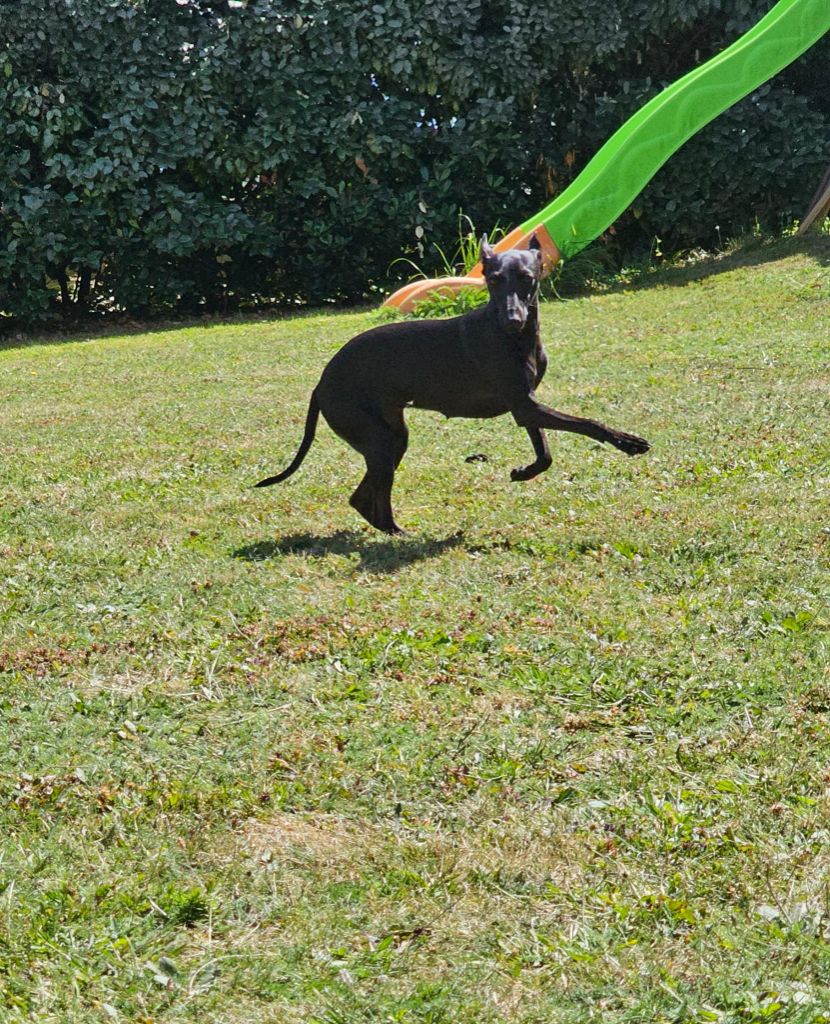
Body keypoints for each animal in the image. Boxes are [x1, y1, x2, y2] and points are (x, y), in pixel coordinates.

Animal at [256, 234, 650, 532]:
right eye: (493, 278)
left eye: (527, 277)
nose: (513, 319)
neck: (514, 339)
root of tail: (321, 383)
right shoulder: (525, 406)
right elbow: (589, 423)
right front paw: (628, 442)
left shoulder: (525, 405)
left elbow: (545, 454)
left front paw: (524, 472)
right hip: (377, 438)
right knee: (372, 498)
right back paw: (398, 534)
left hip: (393, 437)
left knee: (363, 498)